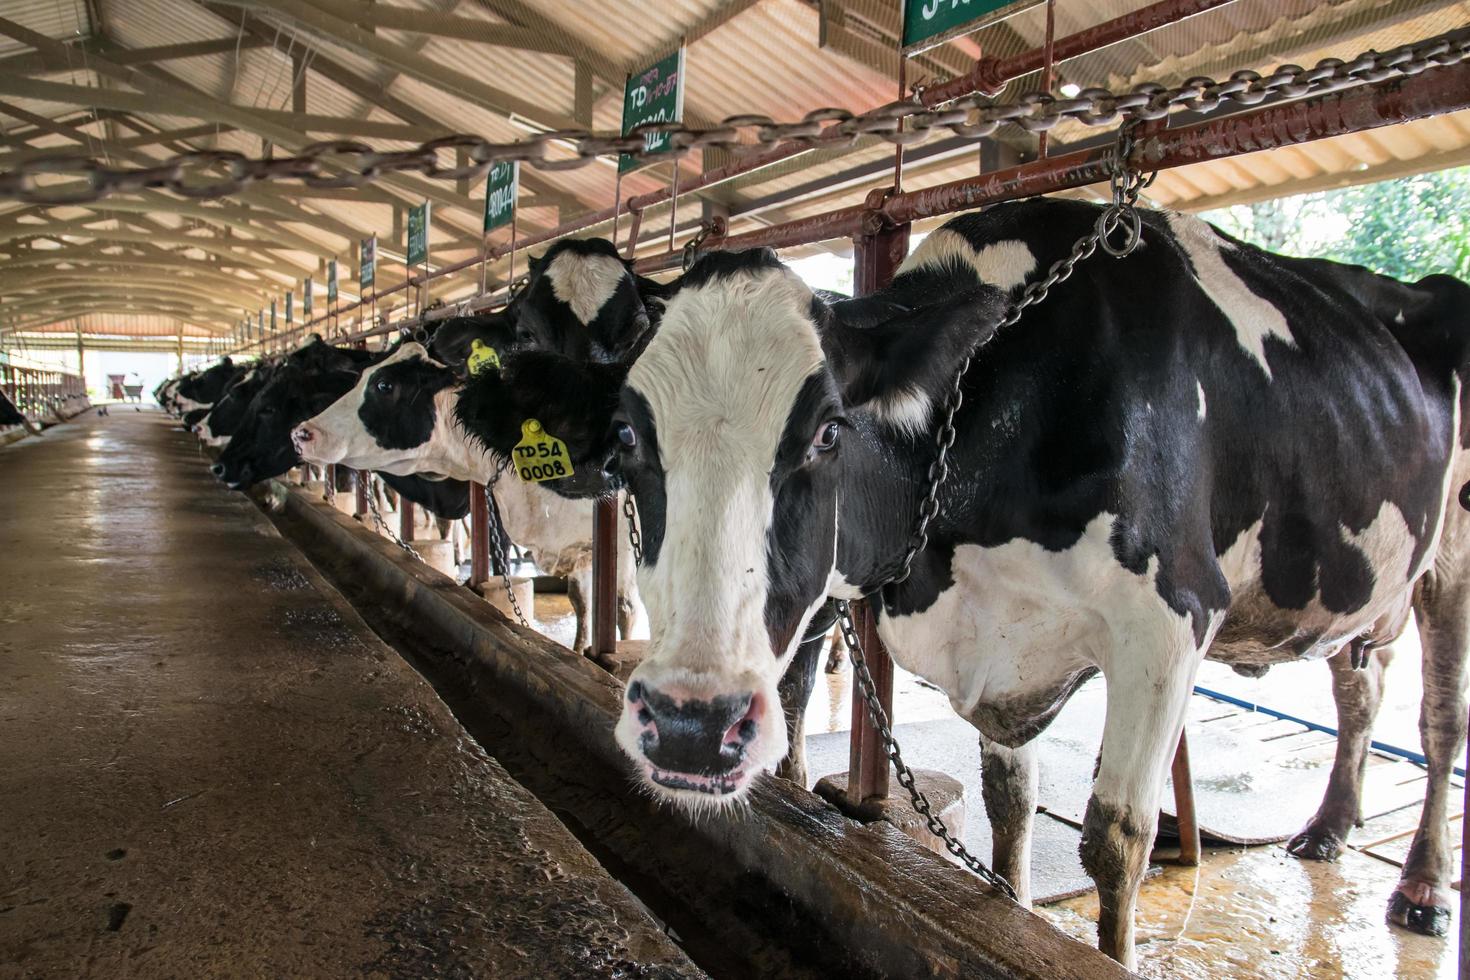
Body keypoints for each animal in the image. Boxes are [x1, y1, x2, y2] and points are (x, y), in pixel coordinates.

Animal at [446, 196, 1470, 963]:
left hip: (1453, 554)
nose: (694, 726)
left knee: (1437, 718)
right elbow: (1009, 810)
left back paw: (1421, 887)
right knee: (1360, 683)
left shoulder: (1173, 613)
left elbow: (1115, 840)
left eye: (827, 431)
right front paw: (1011, 904)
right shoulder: (1005, 636)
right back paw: (1331, 828)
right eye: (627, 436)